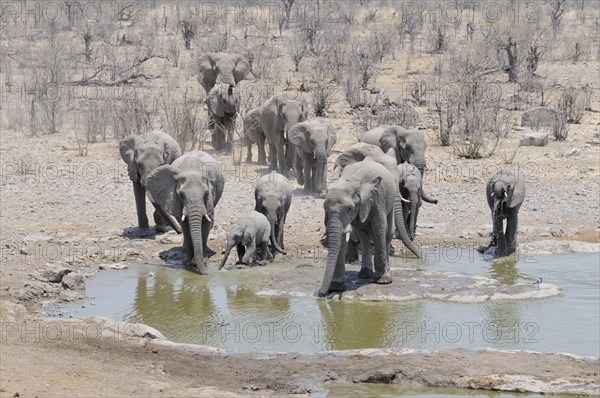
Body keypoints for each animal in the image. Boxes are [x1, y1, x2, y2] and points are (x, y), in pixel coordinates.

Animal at [318, 157, 398, 296]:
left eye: (350, 208)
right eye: (324, 207)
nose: (321, 294)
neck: (352, 180)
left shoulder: (377, 198)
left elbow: (379, 229)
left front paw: (383, 281)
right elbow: (344, 236)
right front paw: (336, 287)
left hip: (391, 197)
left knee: (388, 233)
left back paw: (385, 271)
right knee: (363, 234)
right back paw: (365, 274)